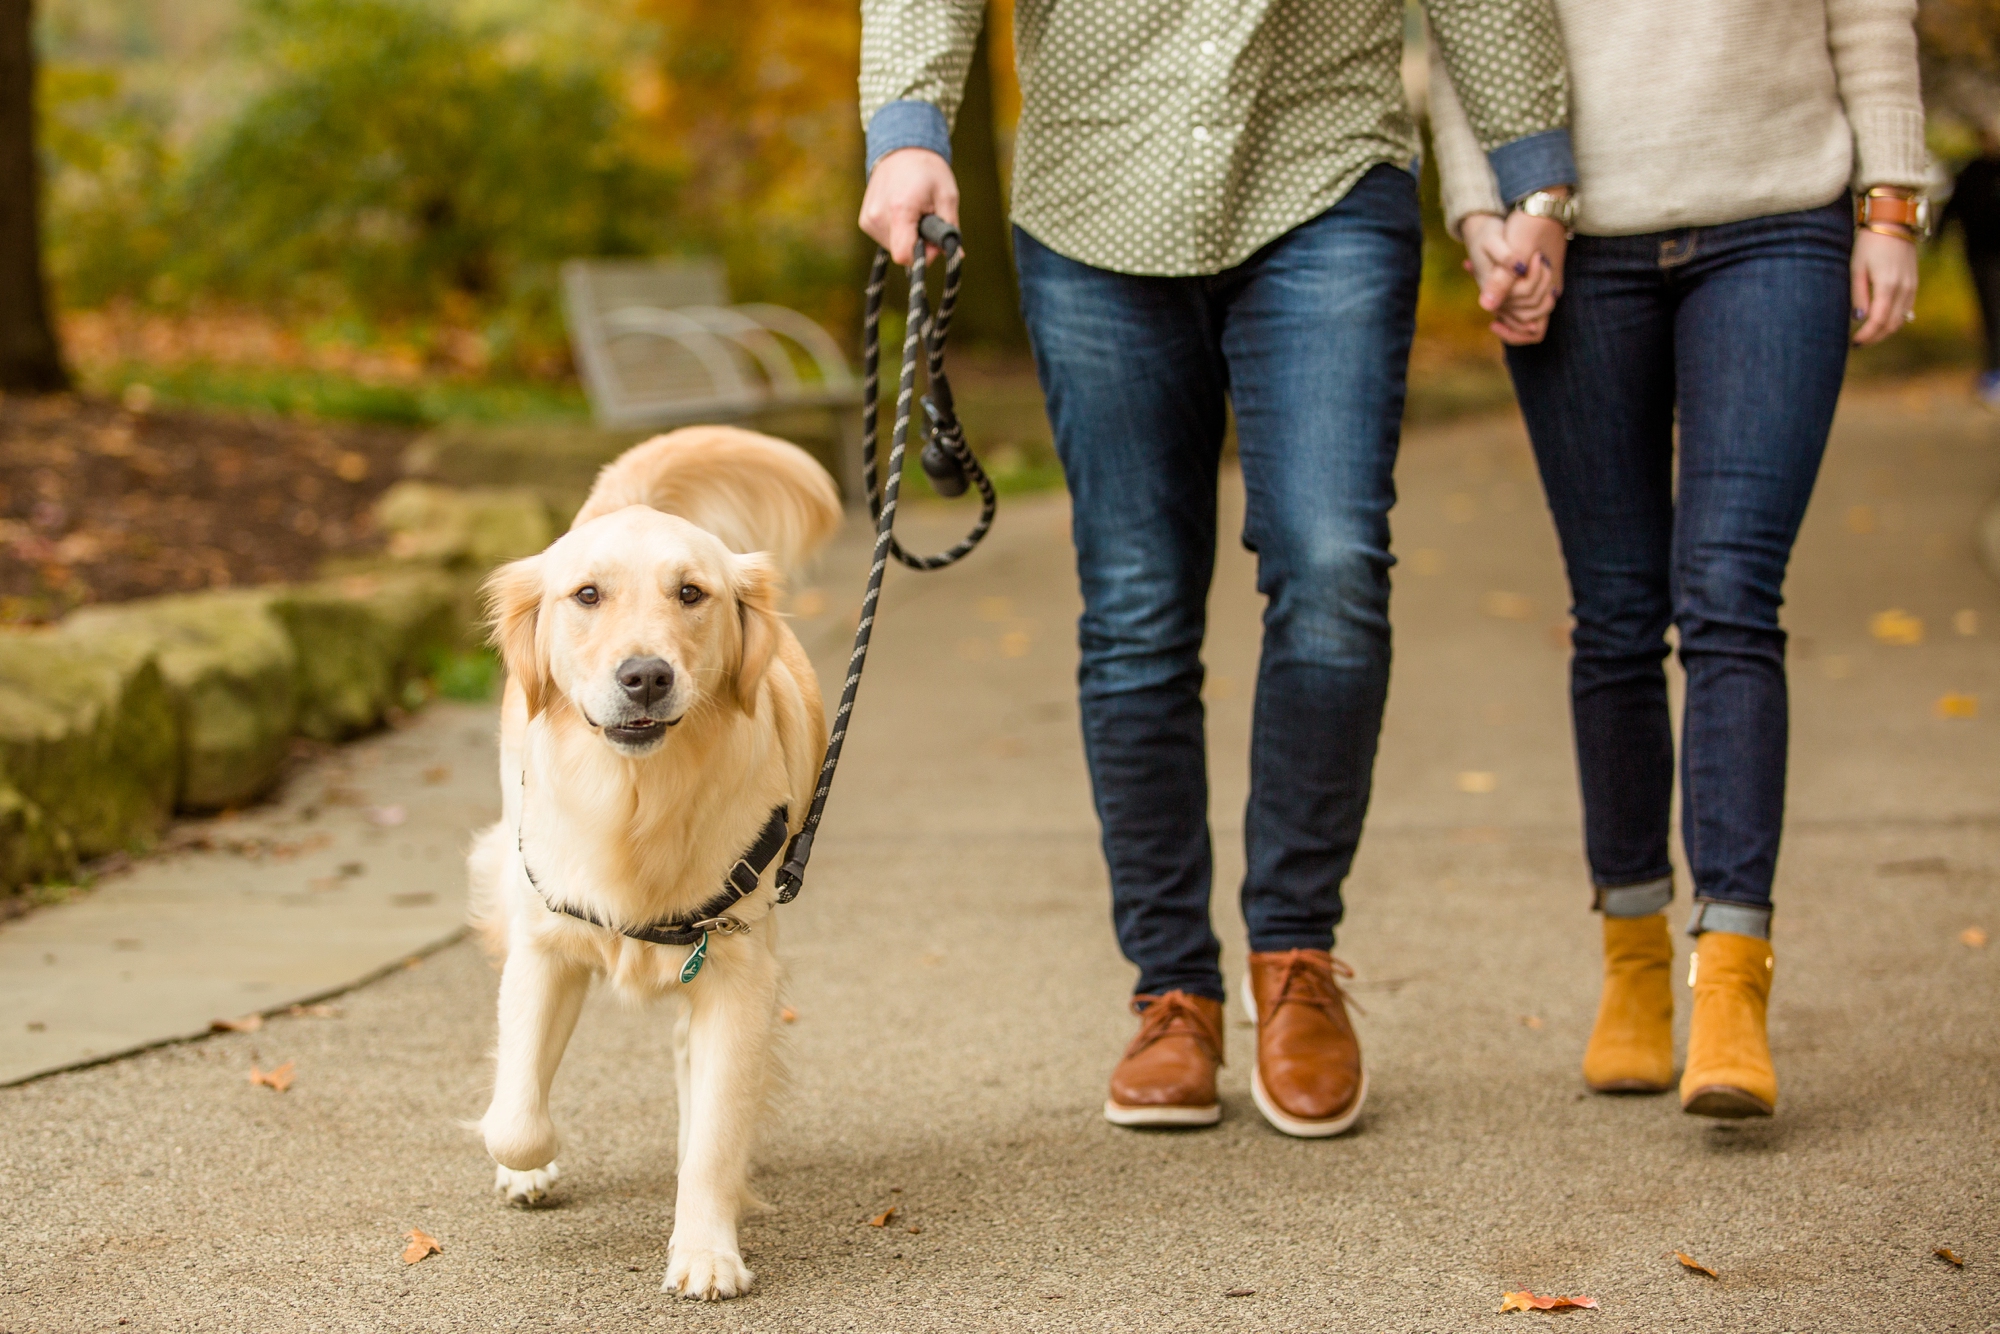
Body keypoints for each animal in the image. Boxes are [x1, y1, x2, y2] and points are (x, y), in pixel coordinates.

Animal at [464, 422, 840, 1296]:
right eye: (586, 596)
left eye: (692, 594)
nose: (645, 676)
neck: (637, 800)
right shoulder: (544, 944)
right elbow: (516, 1116)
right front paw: (527, 1163)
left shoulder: (738, 968)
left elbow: (716, 1130)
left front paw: (706, 1250)